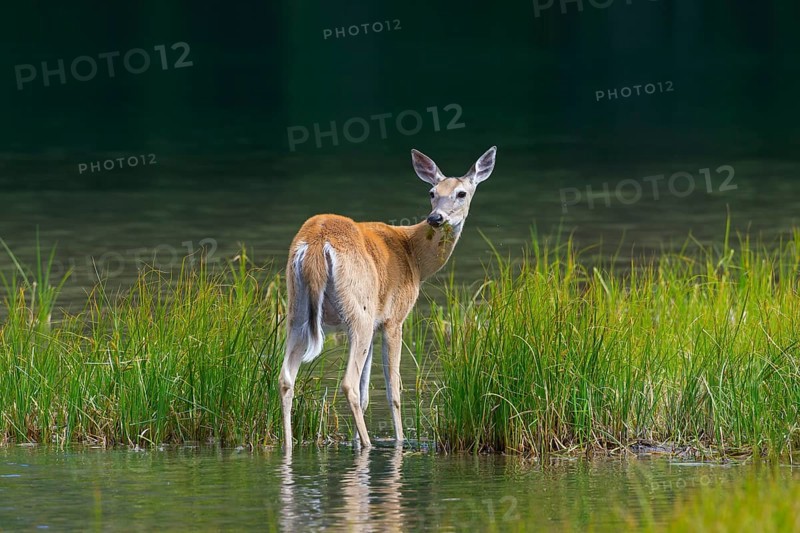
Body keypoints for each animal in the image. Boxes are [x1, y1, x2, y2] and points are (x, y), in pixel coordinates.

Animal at [278, 146, 497, 450]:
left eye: (461, 193)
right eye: (432, 192)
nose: (436, 218)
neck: (414, 256)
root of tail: (315, 242)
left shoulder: (376, 323)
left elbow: (367, 394)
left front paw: (356, 442)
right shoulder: (393, 319)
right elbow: (393, 390)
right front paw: (399, 442)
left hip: (298, 310)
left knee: (286, 378)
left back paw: (290, 445)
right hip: (358, 310)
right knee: (348, 382)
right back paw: (370, 444)